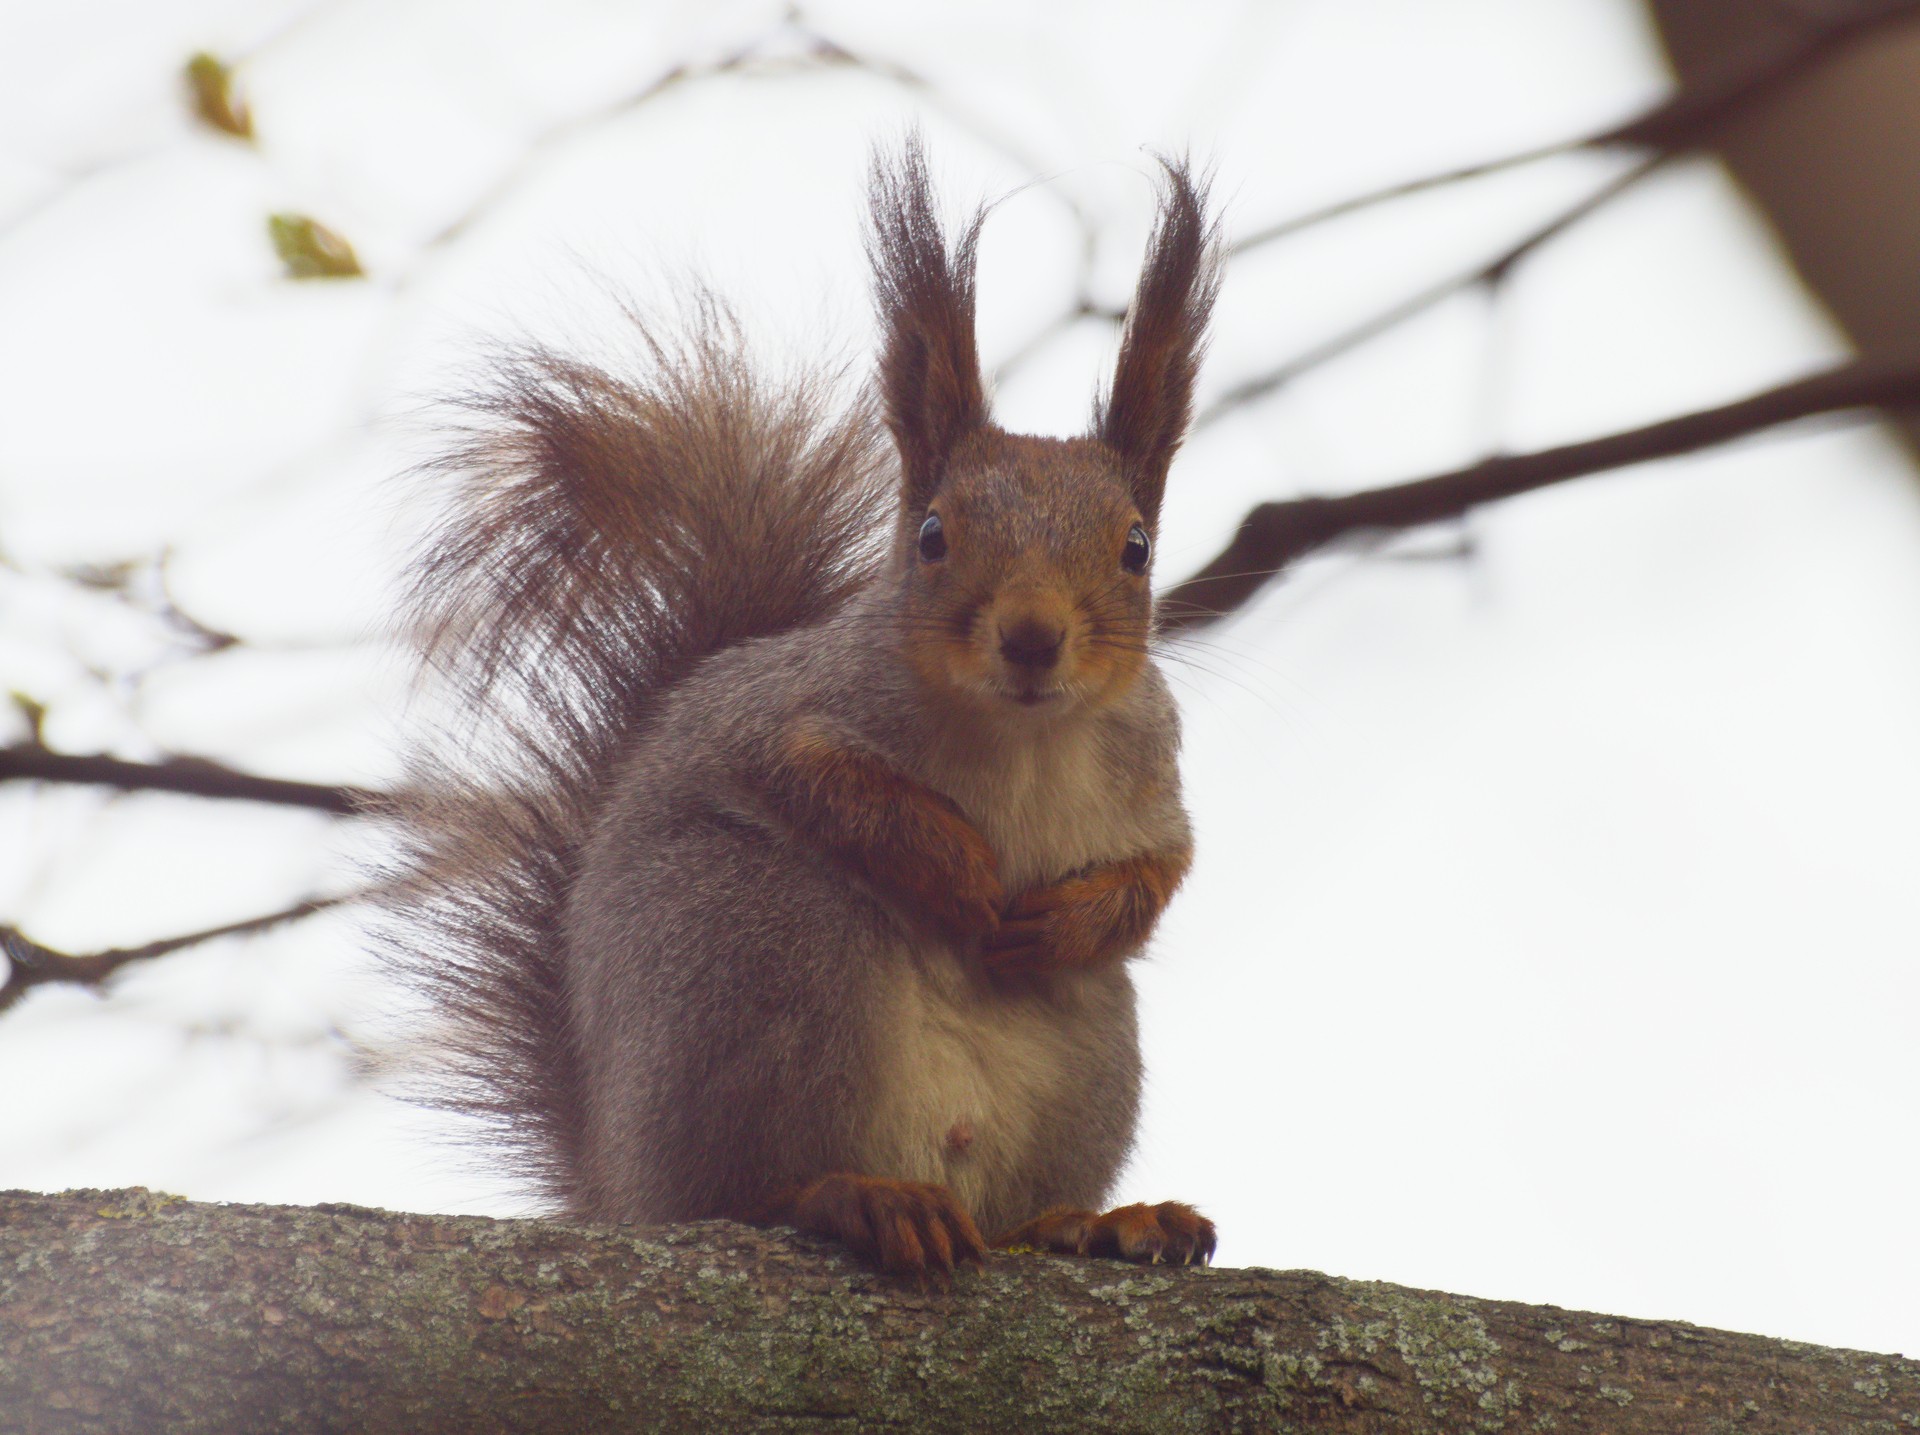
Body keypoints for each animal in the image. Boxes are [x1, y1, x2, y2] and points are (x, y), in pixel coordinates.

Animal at [391, 134, 1221, 1283]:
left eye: (1136, 547)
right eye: (931, 534)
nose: (1031, 636)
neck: (1022, 735)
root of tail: (619, 1183)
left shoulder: (1152, 768)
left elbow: (1162, 869)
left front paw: (1065, 917)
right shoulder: (793, 712)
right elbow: (827, 783)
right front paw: (959, 875)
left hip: (1089, 1043)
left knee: (1013, 1206)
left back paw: (1091, 1221)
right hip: (762, 955)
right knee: (745, 1195)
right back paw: (852, 1197)